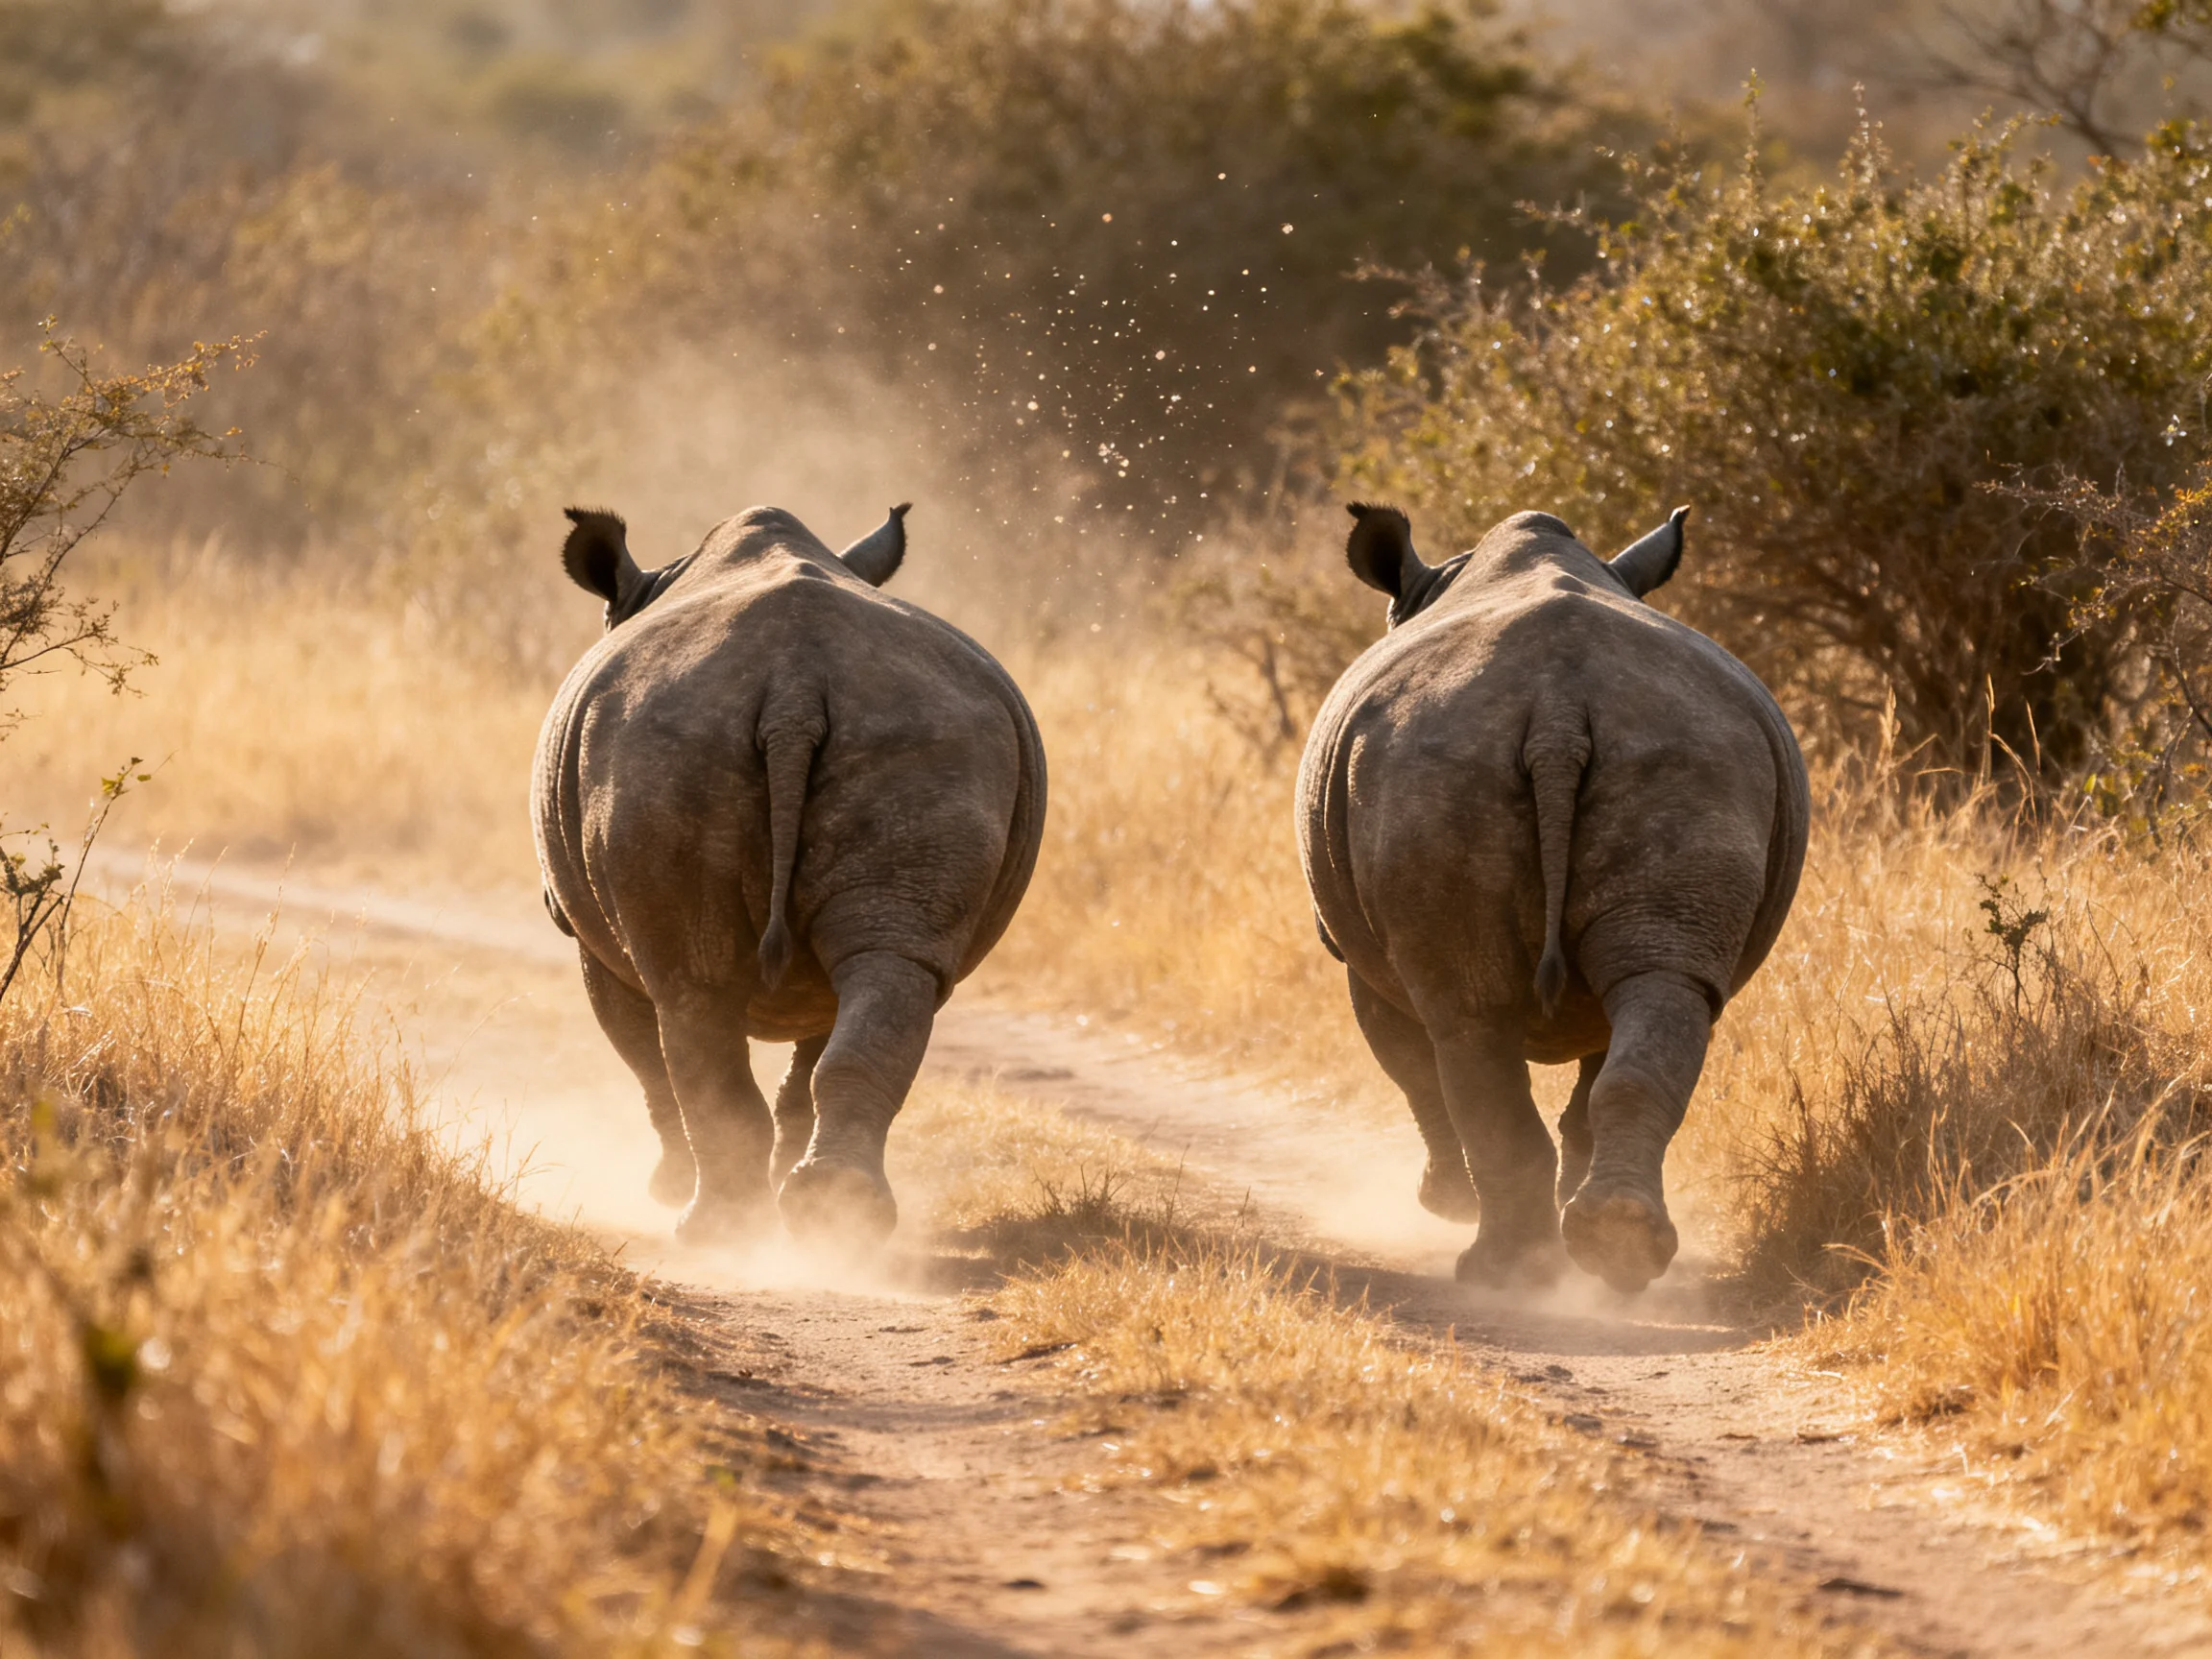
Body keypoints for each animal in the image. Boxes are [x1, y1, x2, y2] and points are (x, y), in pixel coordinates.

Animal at [532, 502, 1046, 1244]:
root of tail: (795, 686)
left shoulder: (584, 931)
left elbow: (641, 1055)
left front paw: (668, 1186)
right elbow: (810, 1047)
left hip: (662, 738)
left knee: (691, 990)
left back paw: (714, 1228)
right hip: (924, 733)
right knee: (889, 965)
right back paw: (835, 1212)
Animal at [1296, 505, 1808, 1292]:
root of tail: (1560, 710)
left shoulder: (1353, 954)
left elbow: (1411, 1071)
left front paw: (1444, 1202)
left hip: (1435, 760)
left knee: (1466, 1021)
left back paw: (1503, 1270)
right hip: (1686, 751)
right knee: (1661, 986)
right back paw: (1615, 1245)